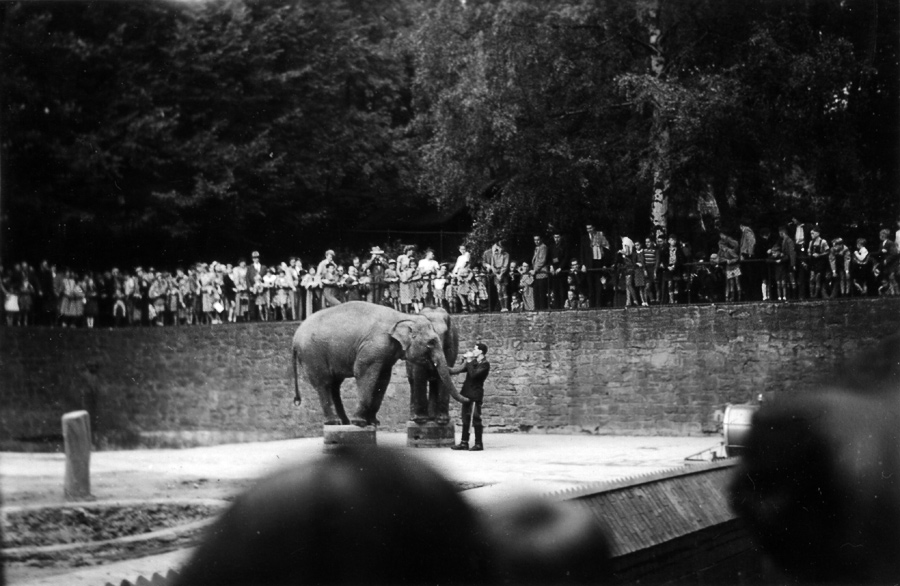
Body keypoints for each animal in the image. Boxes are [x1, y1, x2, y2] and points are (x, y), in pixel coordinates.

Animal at [294, 302, 468, 424]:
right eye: (431, 343)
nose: (465, 358)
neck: (403, 316)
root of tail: (295, 337)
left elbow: (383, 378)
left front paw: (372, 422)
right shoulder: (374, 346)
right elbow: (363, 372)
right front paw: (360, 422)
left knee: (334, 386)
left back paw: (344, 422)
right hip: (312, 354)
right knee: (324, 384)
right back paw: (334, 422)